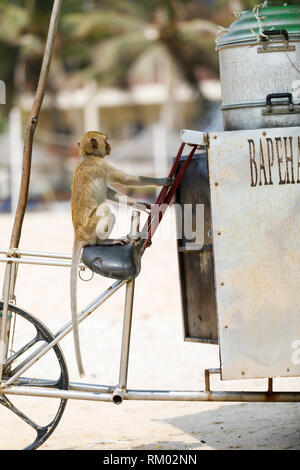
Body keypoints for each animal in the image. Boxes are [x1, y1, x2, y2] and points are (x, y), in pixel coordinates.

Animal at [70, 130, 172, 376]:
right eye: (105, 141)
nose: (110, 147)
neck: (87, 156)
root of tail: (79, 235)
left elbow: (112, 192)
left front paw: (143, 204)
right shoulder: (102, 166)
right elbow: (126, 180)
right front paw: (163, 180)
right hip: (91, 228)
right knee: (105, 209)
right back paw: (106, 241)